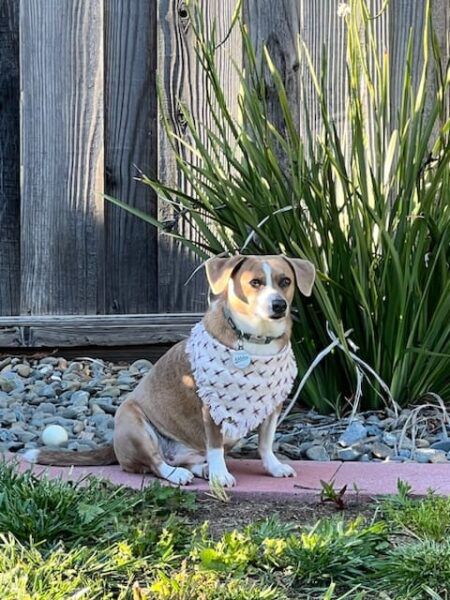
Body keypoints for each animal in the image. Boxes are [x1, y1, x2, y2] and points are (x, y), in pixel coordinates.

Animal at [23, 254, 312, 488]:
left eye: (285, 281)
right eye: (255, 282)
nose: (278, 305)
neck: (255, 341)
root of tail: (114, 445)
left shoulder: (273, 405)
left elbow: (265, 443)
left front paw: (273, 467)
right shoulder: (211, 408)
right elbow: (216, 447)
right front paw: (220, 475)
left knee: (188, 460)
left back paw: (200, 469)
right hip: (133, 422)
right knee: (154, 463)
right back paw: (178, 474)